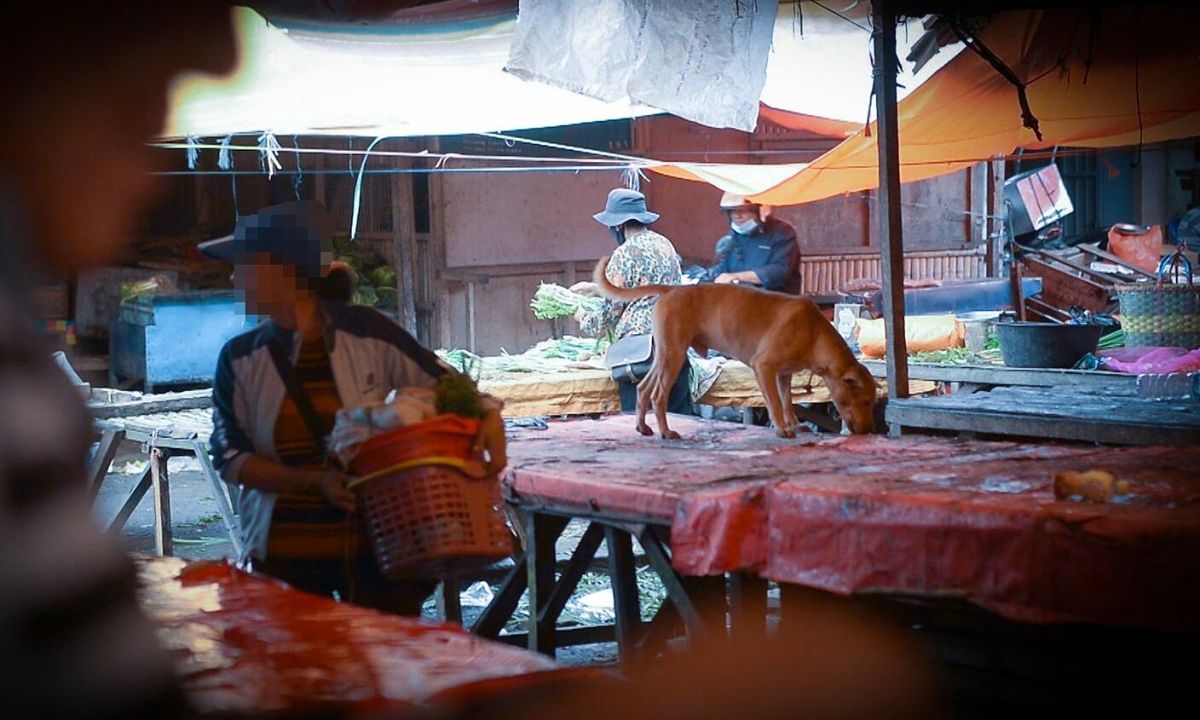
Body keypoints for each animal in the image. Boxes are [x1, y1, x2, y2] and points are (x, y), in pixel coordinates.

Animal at [595, 259, 878, 439]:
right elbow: (775, 403)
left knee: (644, 388)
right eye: (864, 400)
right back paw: (665, 431)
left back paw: (643, 427)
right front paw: (782, 429)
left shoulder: (783, 374)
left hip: (664, 354)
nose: (869, 430)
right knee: (658, 395)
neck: (814, 332)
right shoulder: (764, 367)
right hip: (674, 354)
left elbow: (787, 400)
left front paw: (795, 424)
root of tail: (672, 289)